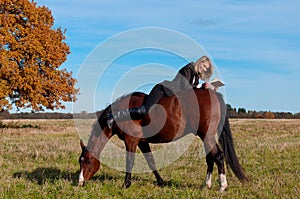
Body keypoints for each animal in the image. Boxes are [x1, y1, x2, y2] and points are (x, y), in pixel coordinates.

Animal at [78, 88, 247, 191]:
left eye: (88, 161)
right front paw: (161, 182)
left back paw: (222, 186)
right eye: (80, 161)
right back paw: (207, 184)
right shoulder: (142, 142)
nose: (80, 182)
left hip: (207, 136)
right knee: (210, 158)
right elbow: (151, 161)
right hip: (205, 137)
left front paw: (126, 184)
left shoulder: (131, 141)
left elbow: (130, 162)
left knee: (218, 156)